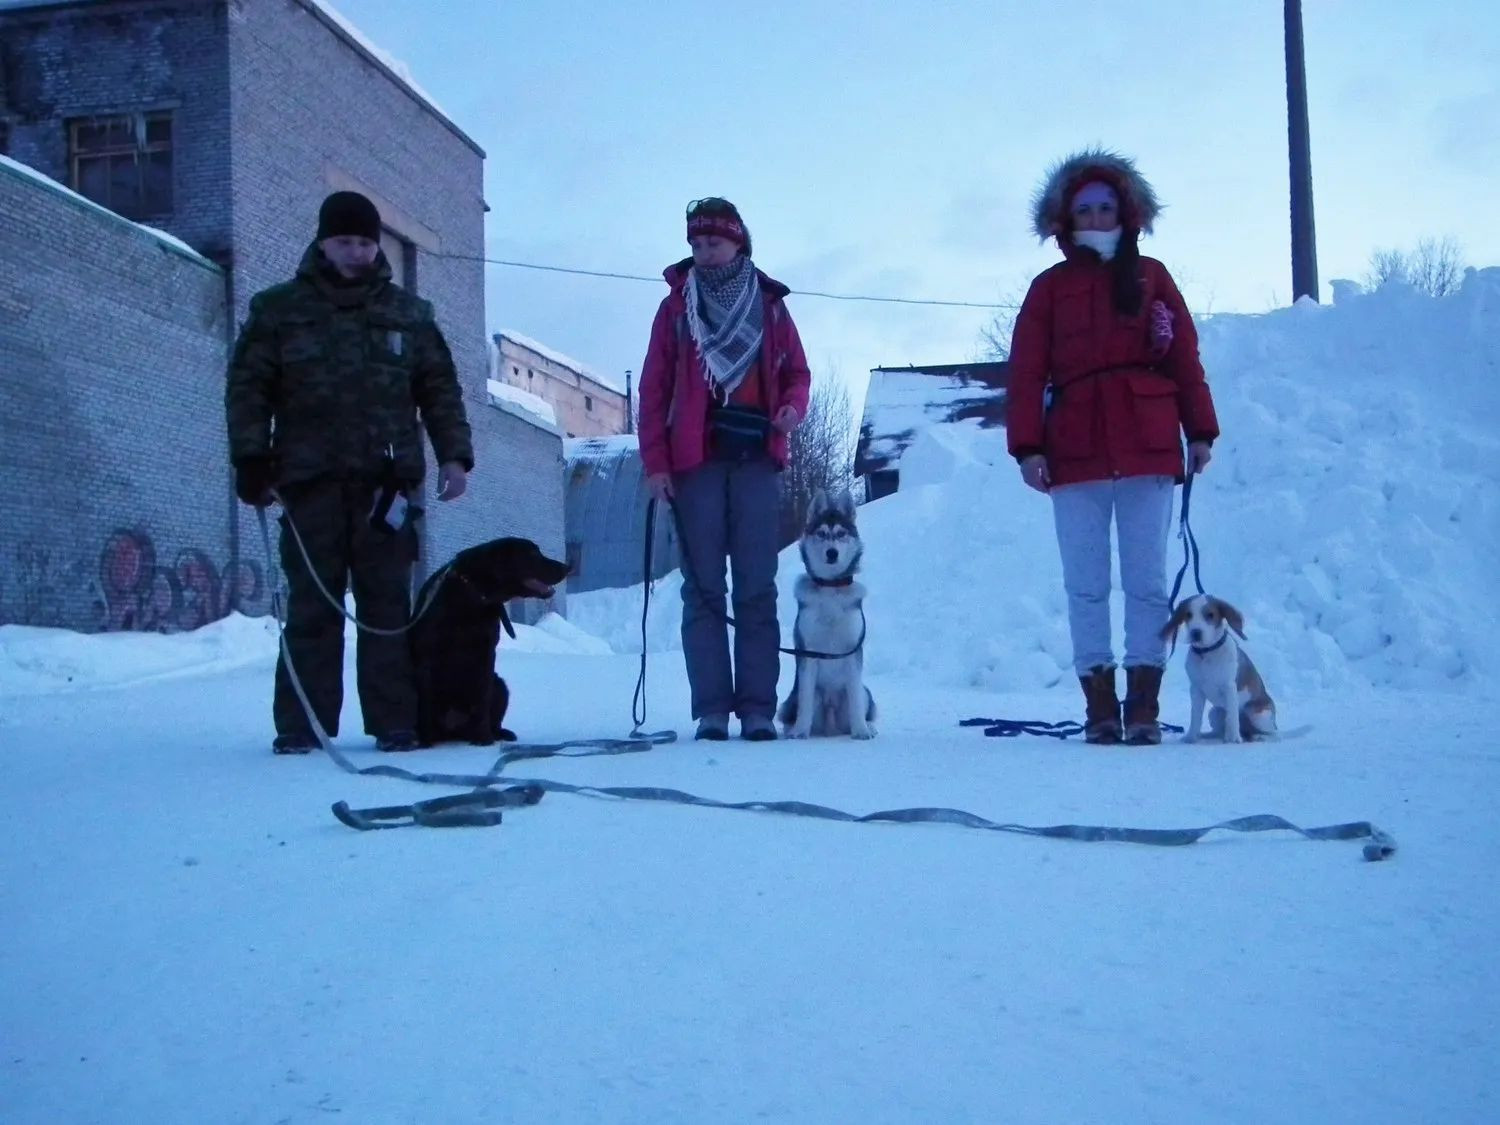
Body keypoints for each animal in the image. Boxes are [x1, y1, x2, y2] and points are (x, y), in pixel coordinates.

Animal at [408, 537, 570, 750]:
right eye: (533, 554)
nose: (567, 567)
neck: (472, 599)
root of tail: (453, 730)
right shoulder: (426, 658)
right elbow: (425, 703)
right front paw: (425, 740)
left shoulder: (486, 653)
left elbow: (482, 699)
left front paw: (483, 738)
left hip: (500, 684)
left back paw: (500, 733)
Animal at [780, 486, 876, 741]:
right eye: (822, 534)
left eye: (841, 533)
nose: (832, 553)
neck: (831, 588)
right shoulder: (808, 651)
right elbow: (804, 702)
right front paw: (800, 732)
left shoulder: (853, 650)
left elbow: (855, 699)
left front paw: (861, 731)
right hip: (795, 698)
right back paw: (792, 729)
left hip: (865, 692)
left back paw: (868, 726)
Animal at [1158, 594, 1278, 744]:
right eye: (1188, 614)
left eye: (1210, 615)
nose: (1196, 633)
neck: (1207, 654)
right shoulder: (1196, 689)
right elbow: (1195, 717)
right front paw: (1191, 737)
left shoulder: (1229, 687)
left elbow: (1232, 718)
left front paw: (1234, 739)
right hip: (1215, 712)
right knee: (1219, 731)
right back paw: (1206, 735)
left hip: (1258, 714)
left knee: (1273, 734)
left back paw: (1258, 736)